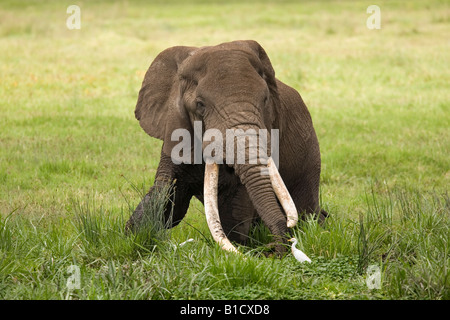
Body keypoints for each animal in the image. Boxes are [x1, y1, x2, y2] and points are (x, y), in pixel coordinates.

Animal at [125, 40, 328, 255]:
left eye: (265, 100)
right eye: (200, 104)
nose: (278, 247)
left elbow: (236, 206)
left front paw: (238, 247)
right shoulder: (175, 129)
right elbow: (167, 197)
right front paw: (134, 235)